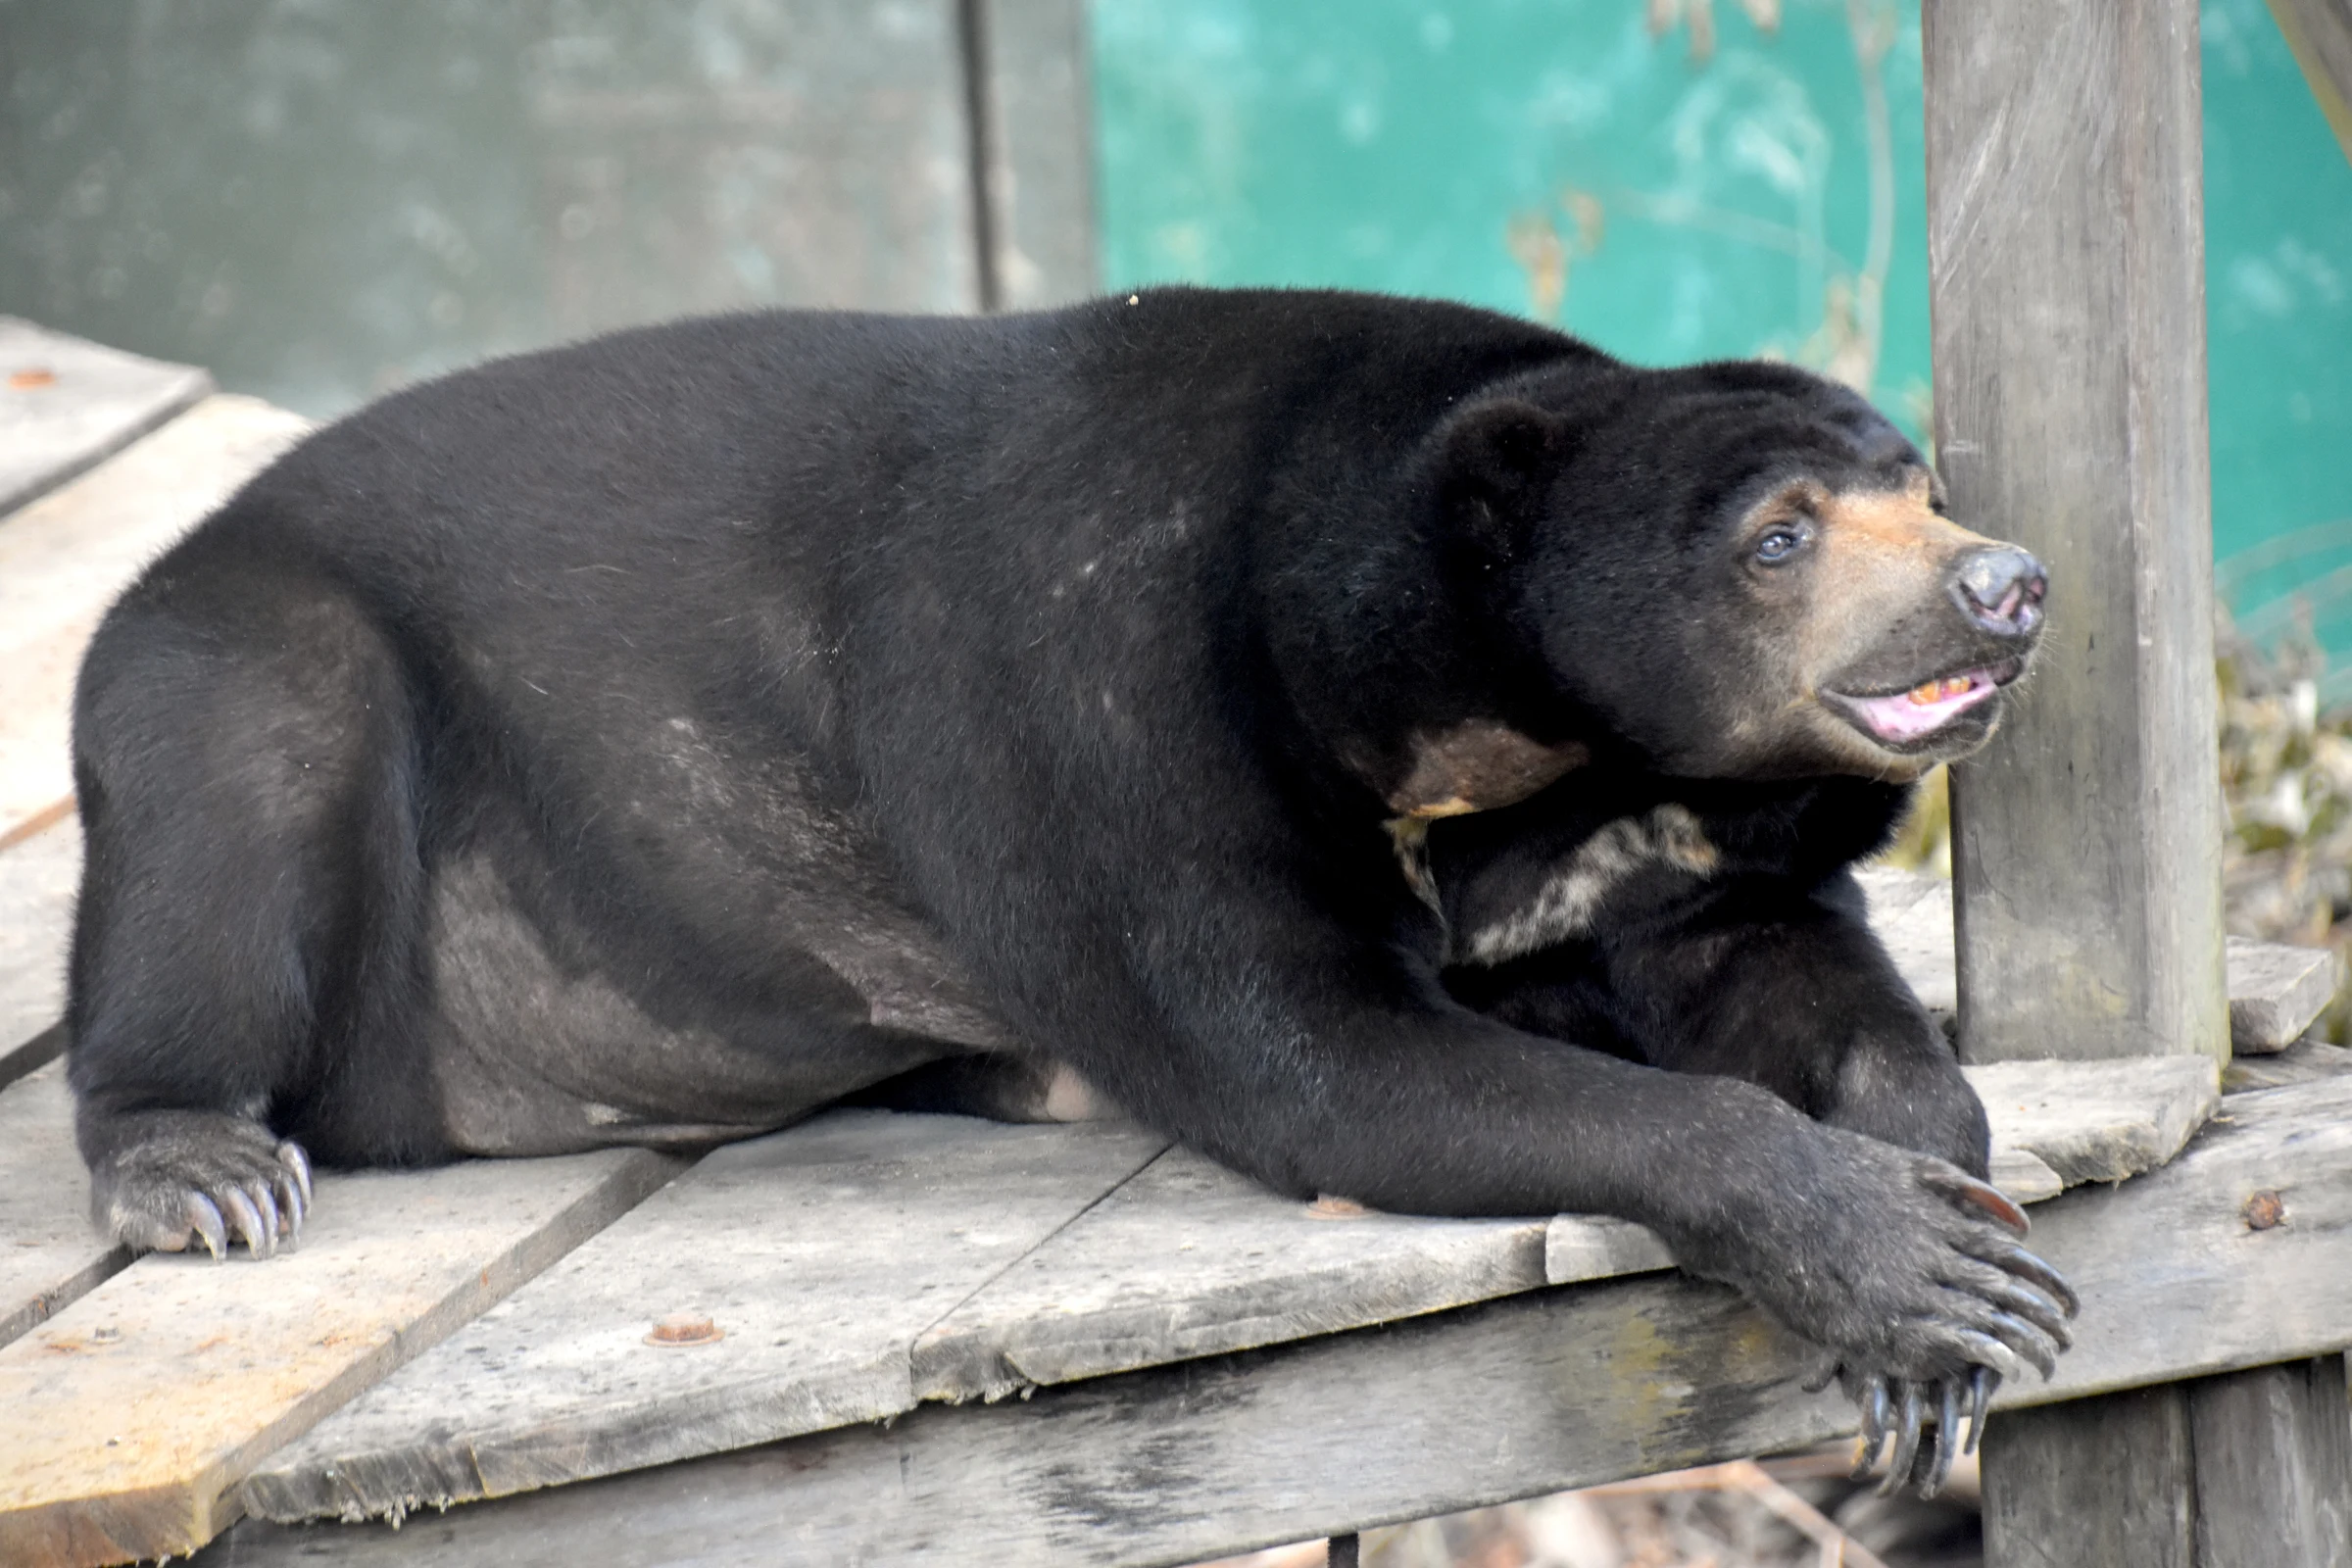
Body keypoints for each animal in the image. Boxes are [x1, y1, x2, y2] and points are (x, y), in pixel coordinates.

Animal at [64, 287, 2068, 1491]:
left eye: (1915, 482)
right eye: (1779, 538)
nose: (2010, 584)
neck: (1513, 739)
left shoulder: (1684, 838)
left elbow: (1786, 967)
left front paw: (1952, 1275)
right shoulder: (1115, 708)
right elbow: (1314, 1057)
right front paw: (1889, 1260)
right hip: (227, 654)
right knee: (233, 797)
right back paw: (201, 1164)